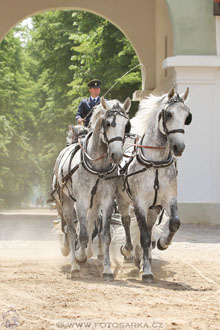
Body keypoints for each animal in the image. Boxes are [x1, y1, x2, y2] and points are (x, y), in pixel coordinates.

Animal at [53, 96, 131, 280]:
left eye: (127, 125)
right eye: (108, 123)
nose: (116, 155)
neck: (98, 166)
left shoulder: (107, 200)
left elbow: (105, 235)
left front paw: (107, 269)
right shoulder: (80, 201)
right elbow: (81, 235)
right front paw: (80, 257)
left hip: (93, 203)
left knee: (88, 224)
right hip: (65, 202)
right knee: (69, 229)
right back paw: (74, 264)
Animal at [116, 87, 192, 282]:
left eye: (187, 116)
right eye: (168, 114)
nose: (179, 147)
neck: (155, 163)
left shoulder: (168, 199)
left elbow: (174, 223)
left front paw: (163, 243)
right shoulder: (140, 203)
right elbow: (142, 236)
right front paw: (147, 272)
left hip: (154, 208)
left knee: (148, 228)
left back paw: (141, 258)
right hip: (123, 200)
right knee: (126, 222)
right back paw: (127, 250)